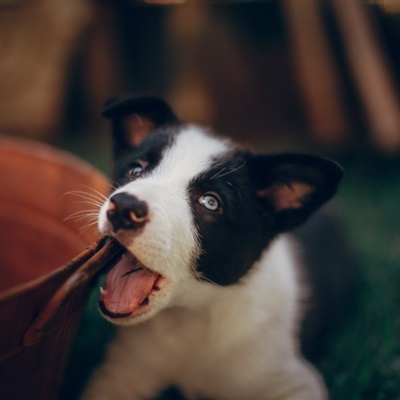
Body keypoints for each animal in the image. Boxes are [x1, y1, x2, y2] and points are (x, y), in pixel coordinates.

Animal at [83, 97, 342, 400]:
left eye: (210, 202)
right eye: (136, 170)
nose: (124, 208)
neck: (192, 317)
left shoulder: (294, 381)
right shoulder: (120, 373)